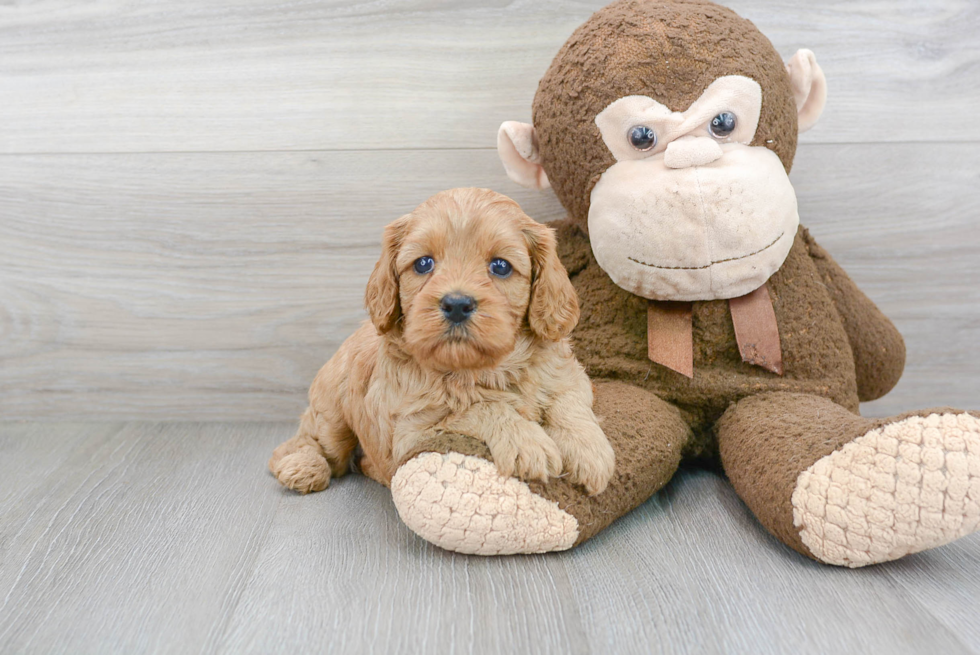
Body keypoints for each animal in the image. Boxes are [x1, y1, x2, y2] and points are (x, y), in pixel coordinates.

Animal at [268, 190, 616, 498]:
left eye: (501, 266)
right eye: (423, 264)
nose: (457, 304)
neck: (483, 369)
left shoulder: (571, 376)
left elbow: (569, 403)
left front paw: (590, 451)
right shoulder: (411, 433)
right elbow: (477, 408)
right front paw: (527, 442)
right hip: (331, 416)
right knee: (305, 445)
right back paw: (303, 467)